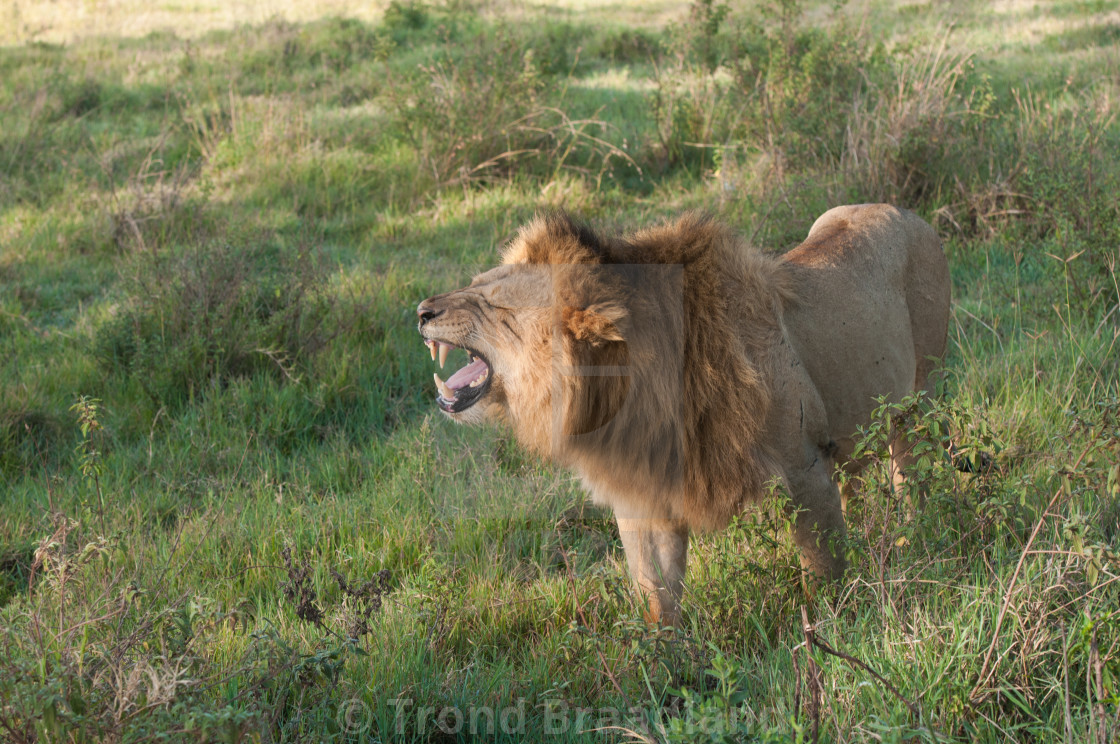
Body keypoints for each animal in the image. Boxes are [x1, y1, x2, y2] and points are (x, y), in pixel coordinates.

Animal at [416, 201, 949, 622]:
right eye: (475, 284)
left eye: (495, 304)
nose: (421, 312)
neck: (623, 398)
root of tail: (903, 210)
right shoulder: (644, 493)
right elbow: (655, 593)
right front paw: (663, 668)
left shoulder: (804, 468)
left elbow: (823, 568)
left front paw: (833, 627)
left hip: (921, 402)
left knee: (915, 475)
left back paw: (919, 537)